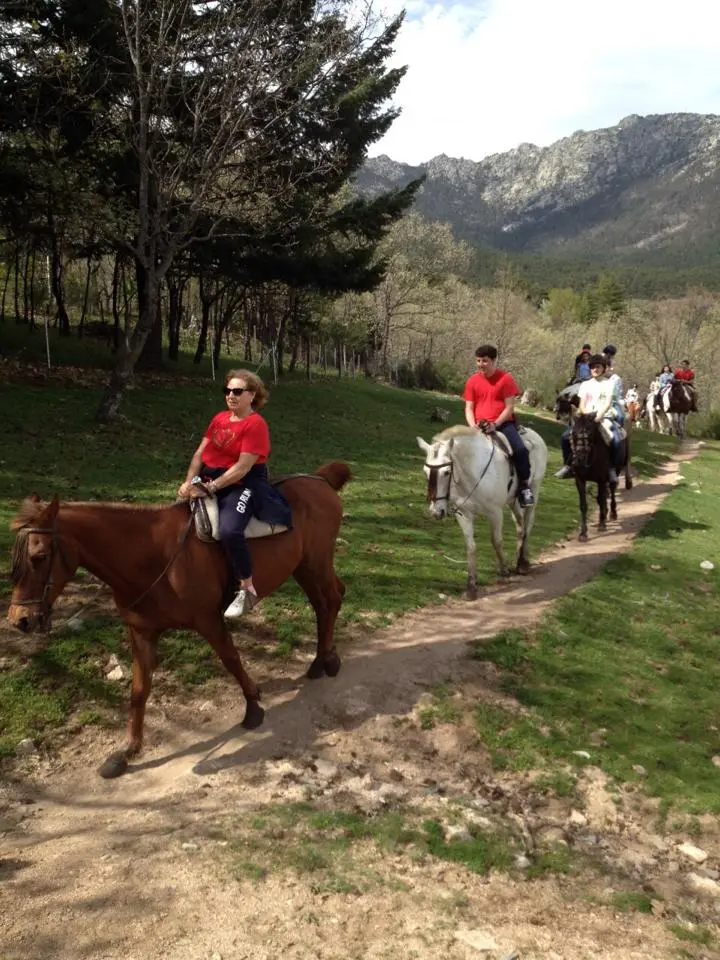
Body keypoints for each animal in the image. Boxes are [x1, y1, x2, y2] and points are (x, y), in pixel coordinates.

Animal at [7, 464, 352, 780]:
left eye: (39, 557)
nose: (19, 620)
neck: (152, 556)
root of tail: (320, 479)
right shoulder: (141, 632)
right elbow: (139, 689)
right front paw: (126, 750)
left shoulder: (209, 620)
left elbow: (231, 659)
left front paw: (253, 707)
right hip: (303, 566)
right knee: (323, 604)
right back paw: (321, 660)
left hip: (316, 561)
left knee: (332, 599)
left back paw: (328, 661)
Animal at [414, 424, 548, 596]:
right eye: (425, 471)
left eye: (446, 472)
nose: (436, 512)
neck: (472, 474)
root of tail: (533, 434)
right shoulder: (464, 515)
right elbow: (470, 547)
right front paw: (471, 585)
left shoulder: (495, 513)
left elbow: (496, 541)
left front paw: (504, 571)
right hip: (512, 501)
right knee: (520, 526)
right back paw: (518, 560)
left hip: (535, 488)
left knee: (528, 524)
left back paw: (523, 563)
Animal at [572, 412, 632, 544]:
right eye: (574, 433)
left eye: (590, 433)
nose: (580, 457)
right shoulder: (580, 480)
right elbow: (583, 505)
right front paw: (583, 533)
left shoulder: (601, 479)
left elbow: (600, 498)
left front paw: (602, 524)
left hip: (617, 469)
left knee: (612, 489)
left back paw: (612, 513)